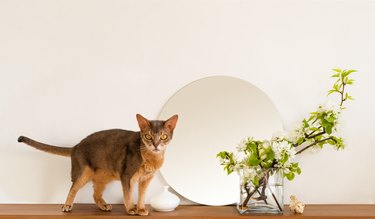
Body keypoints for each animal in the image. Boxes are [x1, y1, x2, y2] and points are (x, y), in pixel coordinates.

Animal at [16, 114, 178, 216]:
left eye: (163, 136)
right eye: (148, 136)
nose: (156, 145)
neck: (151, 157)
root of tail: (76, 146)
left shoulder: (146, 179)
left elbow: (142, 195)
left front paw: (141, 208)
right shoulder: (127, 176)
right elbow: (128, 194)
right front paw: (131, 209)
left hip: (103, 177)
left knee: (95, 194)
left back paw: (104, 205)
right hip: (83, 173)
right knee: (73, 188)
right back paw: (67, 205)